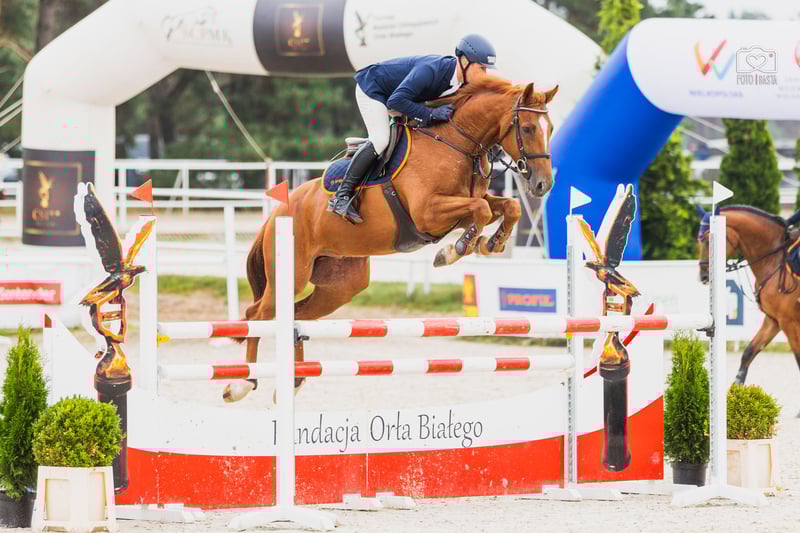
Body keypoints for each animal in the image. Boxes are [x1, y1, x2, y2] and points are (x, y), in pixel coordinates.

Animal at [223, 75, 559, 402]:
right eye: (528, 128)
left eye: (551, 129)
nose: (543, 185)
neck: (457, 143)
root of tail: (278, 211)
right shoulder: (429, 212)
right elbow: (481, 210)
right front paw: (455, 250)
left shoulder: (464, 206)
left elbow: (507, 207)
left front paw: (491, 243)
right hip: (292, 272)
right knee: (258, 315)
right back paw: (242, 384)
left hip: (342, 284)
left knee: (293, 314)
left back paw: (293, 381)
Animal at [697, 205, 800, 385]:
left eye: (709, 240)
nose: (703, 276)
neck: (774, 260)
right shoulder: (774, 319)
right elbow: (748, 352)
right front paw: (736, 387)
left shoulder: (789, 321)